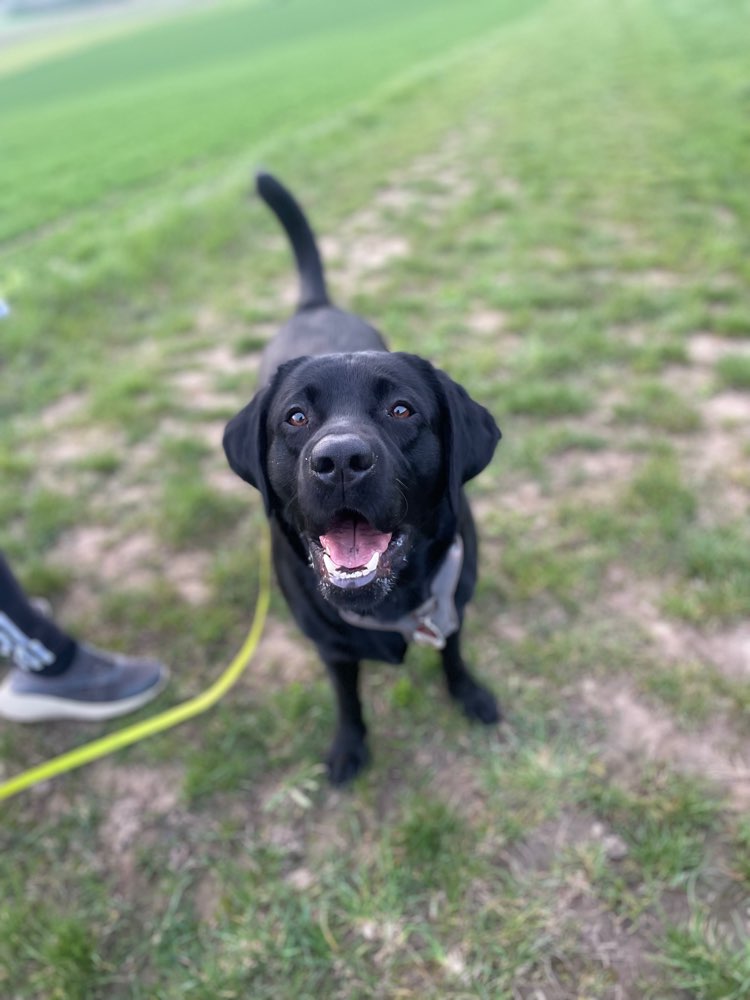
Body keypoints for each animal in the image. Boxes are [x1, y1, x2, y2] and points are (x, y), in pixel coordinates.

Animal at [225, 176, 506, 784]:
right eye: (296, 418)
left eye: (401, 410)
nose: (340, 460)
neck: (393, 604)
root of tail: (315, 304)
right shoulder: (331, 649)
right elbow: (347, 697)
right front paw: (349, 747)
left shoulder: (452, 606)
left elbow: (453, 653)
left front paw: (469, 695)